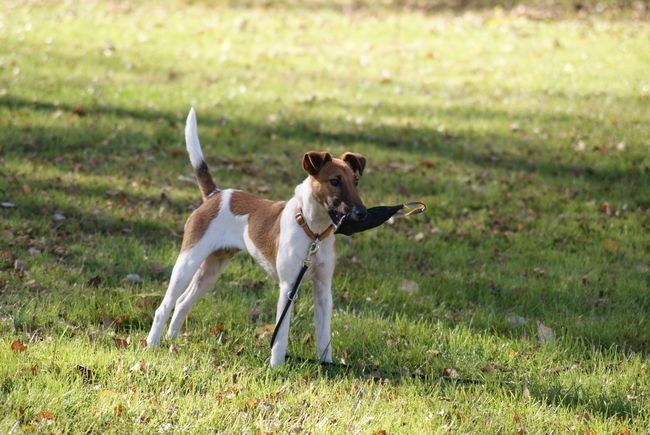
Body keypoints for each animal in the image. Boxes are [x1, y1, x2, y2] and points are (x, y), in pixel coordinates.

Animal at [146, 109, 364, 368]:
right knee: (165, 306)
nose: (362, 213)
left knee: (182, 303)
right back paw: (152, 344)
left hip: (211, 270)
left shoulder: (323, 288)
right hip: (187, 263)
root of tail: (215, 195)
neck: (312, 232)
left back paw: (172, 340)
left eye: (356, 181)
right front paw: (276, 367)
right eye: (335, 181)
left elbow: (324, 334)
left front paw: (327, 365)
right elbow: (281, 334)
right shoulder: (288, 287)